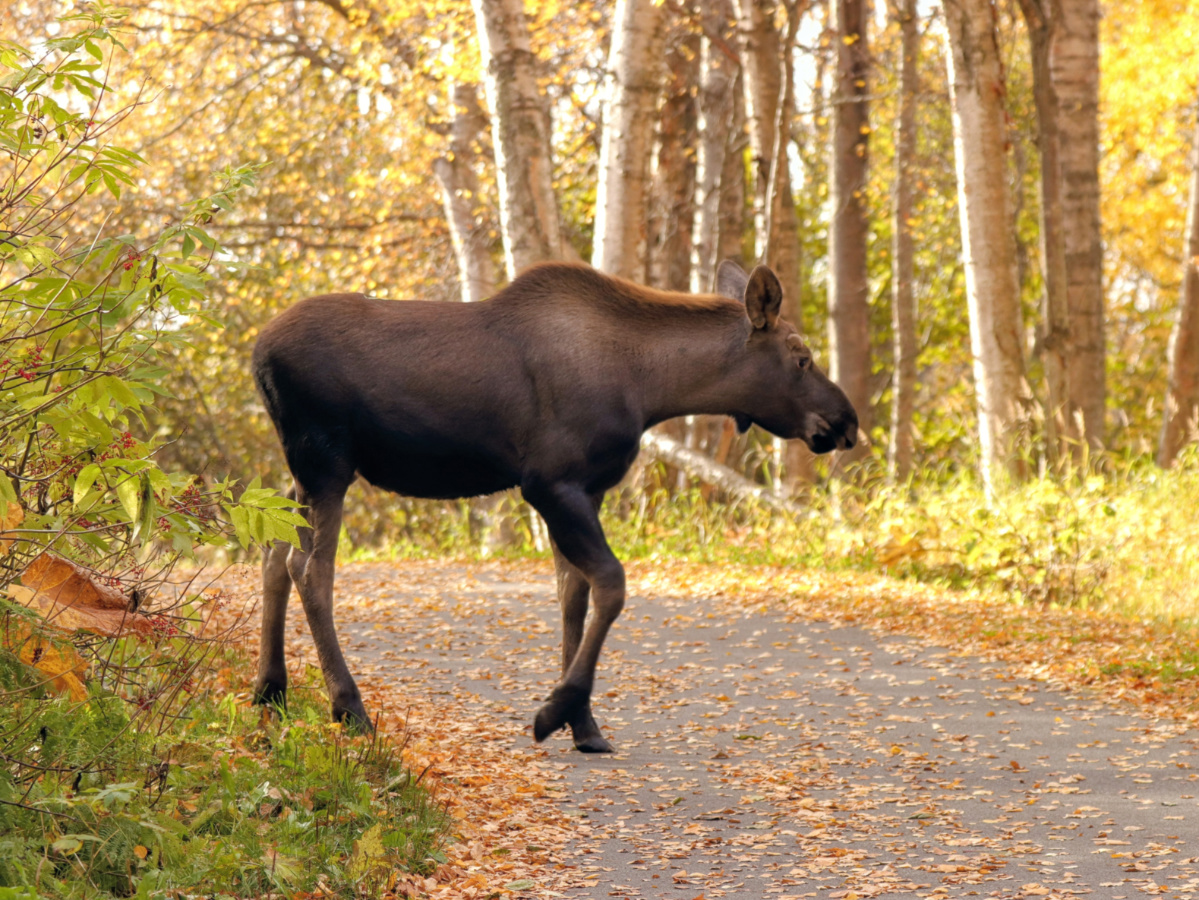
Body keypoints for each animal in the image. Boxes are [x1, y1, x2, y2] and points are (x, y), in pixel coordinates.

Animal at [252, 260, 858, 752]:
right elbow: (611, 584)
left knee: (273, 556)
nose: (846, 423)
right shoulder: (550, 483)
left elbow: (574, 595)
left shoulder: (586, 490)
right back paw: (349, 706)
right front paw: (555, 711)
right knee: (310, 569)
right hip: (327, 461)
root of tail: (257, 356)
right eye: (802, 358)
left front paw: (584, 724)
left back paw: (270, 689)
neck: (652, 384)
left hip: (301, 472)